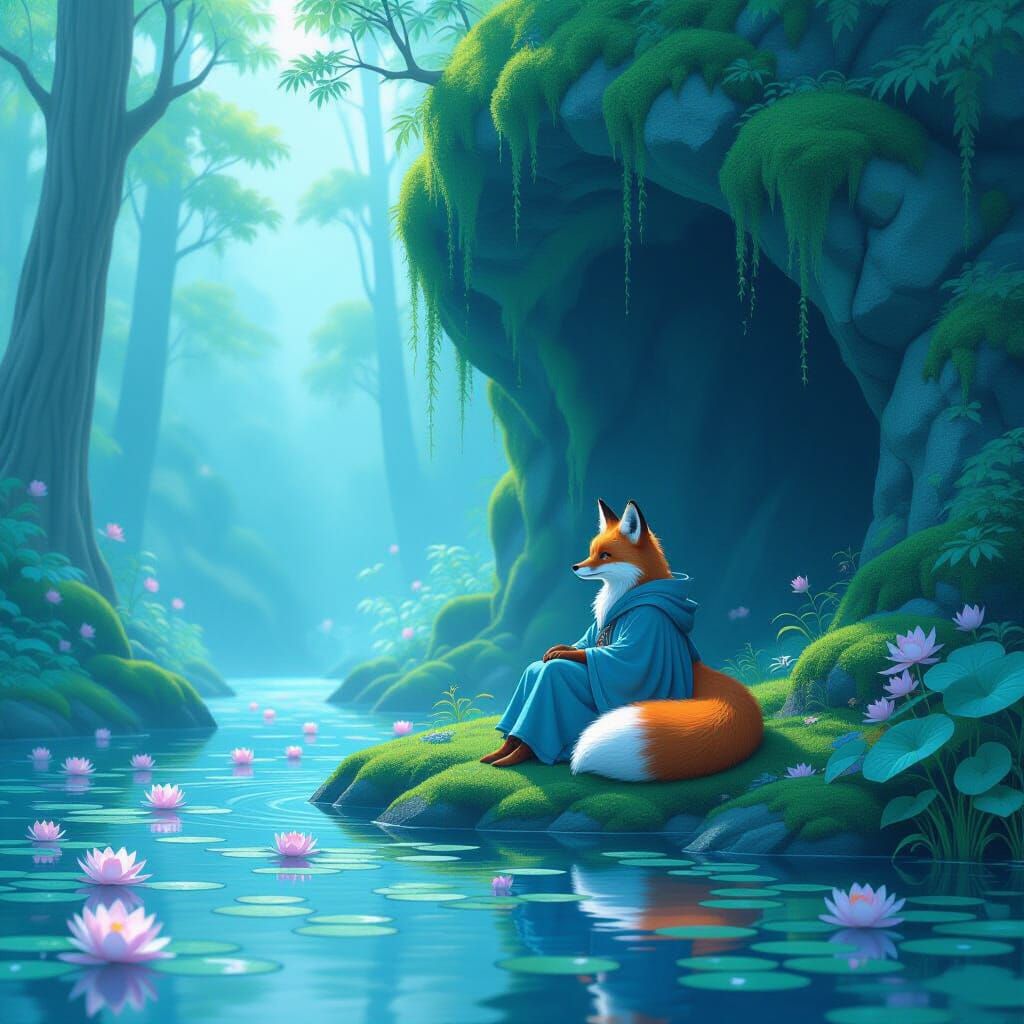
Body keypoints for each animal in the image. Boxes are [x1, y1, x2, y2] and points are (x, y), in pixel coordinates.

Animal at [559, 499, 763, 782]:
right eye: (591, 552)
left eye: (605, 555)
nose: (575, 567)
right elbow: (583, 644)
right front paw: (561, 648)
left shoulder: (642, 637)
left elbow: (609, 657)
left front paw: (559, 655)